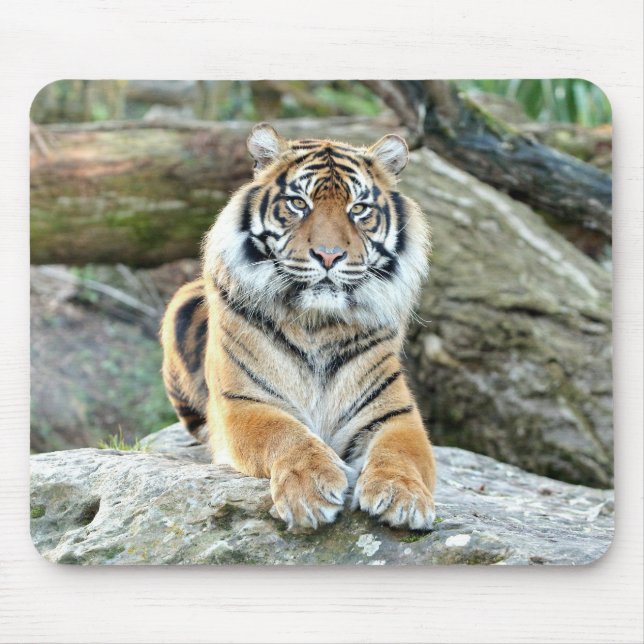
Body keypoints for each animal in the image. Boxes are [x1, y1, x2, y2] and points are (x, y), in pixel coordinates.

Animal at [160, 123, 436, 532]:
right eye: (298, 204)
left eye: (358, 209)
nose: (328, 255)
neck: (317, 323)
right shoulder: (244, 402)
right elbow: (286, 434)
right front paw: (311, 489)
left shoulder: (393, 413)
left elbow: (402, 453)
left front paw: (403, 496)